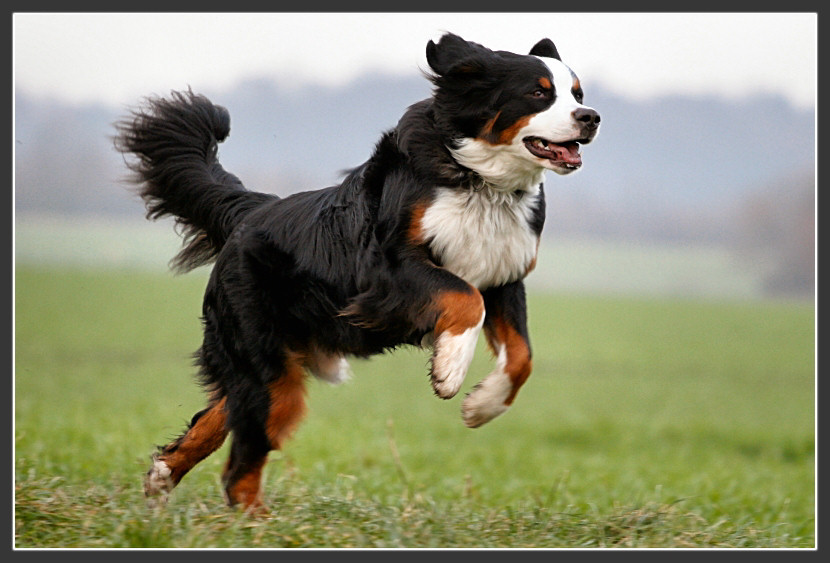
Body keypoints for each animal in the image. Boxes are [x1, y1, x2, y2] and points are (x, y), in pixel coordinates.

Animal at [115, 33, 600, 512]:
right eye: (538, 93)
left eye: (577, 94)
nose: (591, 117)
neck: (479, 182)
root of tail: (251, 210)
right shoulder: (387, 268)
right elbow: (465, 297)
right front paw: (449, 370)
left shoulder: (504, 275)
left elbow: (521, 356)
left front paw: (482, 404)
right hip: (267, 364)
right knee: (241, 462)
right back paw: (256, 520)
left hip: (267, 364)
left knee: (219, 416)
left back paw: (162, 476)